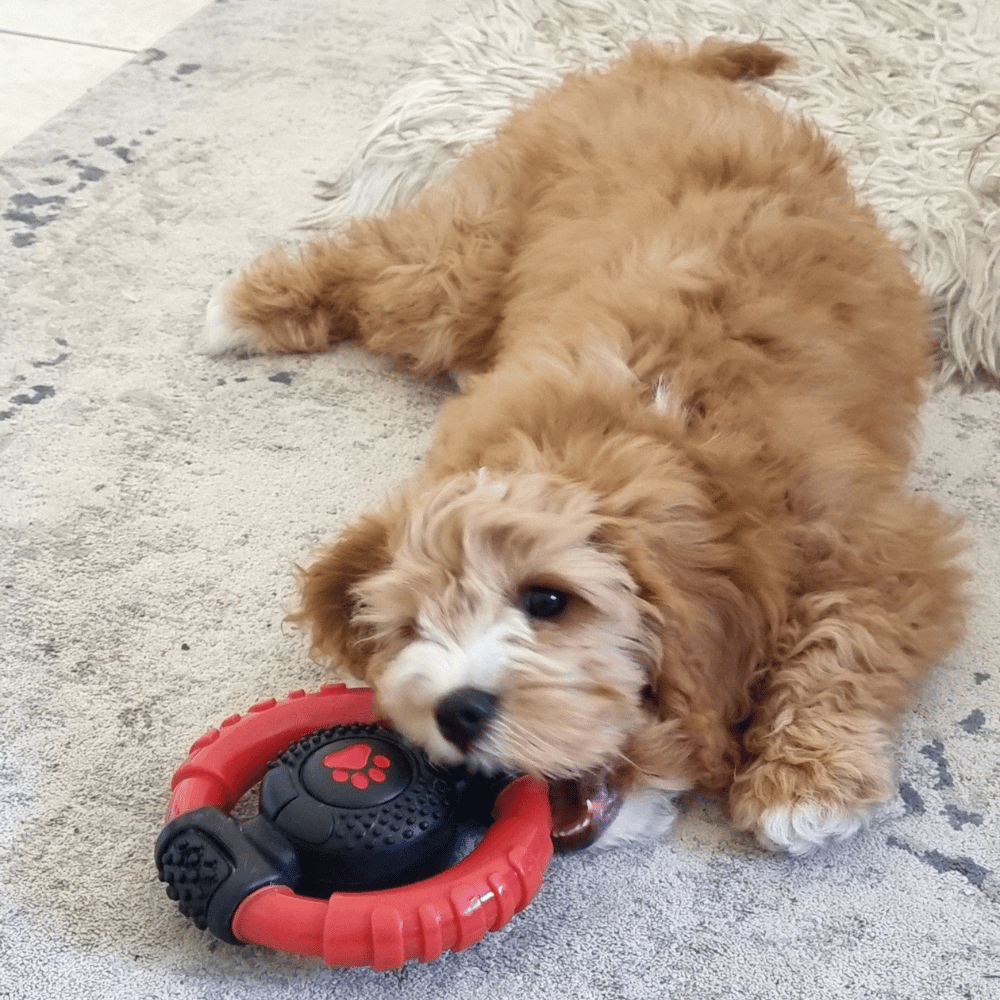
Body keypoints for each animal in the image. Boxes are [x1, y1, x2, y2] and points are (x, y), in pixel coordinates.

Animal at [201, 37, 960, 852]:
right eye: (410, 628)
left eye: (548, 600)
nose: (454, 710)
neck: (643, 430)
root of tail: (657, 63)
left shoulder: (878, 539)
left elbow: (849, 636)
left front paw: (808, 782)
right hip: (458, 272)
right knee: (372, 259)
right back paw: (245, 308)